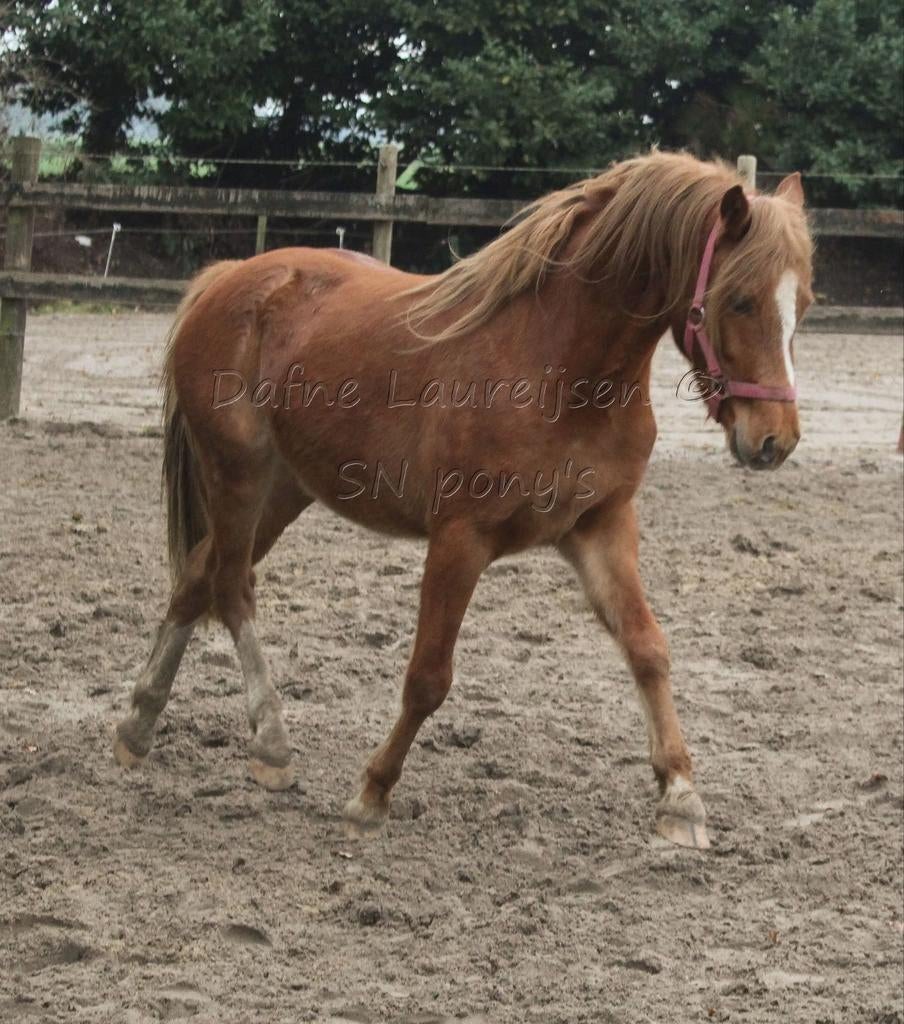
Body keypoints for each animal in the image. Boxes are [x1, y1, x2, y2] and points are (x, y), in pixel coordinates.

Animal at [112, 151, 813, 849]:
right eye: (740, 299)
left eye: (803, 302)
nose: (774, 440)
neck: (560, 369)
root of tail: (231, 279)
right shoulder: (460, 539)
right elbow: (428, 677)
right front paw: (372, 793)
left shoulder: (602, 526)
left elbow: (648, 648)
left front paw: (681, 797)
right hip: (237, 476)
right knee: (232, 586)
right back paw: (271, 744)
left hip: (285, 490)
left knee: (197, 577)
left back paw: (138, 724)